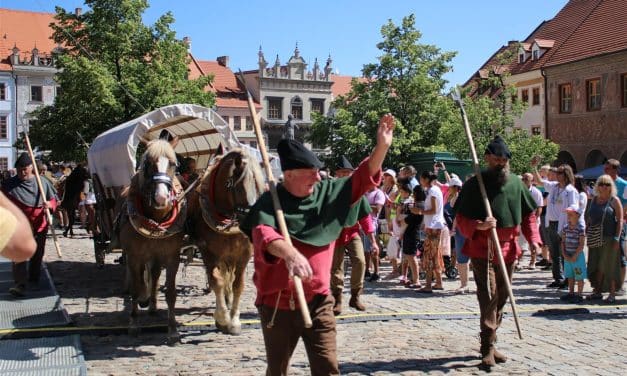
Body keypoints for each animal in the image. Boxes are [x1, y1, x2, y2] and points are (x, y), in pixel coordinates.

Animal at [118, 139, 186, 344]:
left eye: (174, 164)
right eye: (147, 164)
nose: (161, 198)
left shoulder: (172, 256)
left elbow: (171, 293)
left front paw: (172, 330)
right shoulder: (134, 256)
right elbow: (135, 288)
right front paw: (133, 323)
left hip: (155, 255)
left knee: (154, 274)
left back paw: (153, 305)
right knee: (141, 277)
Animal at [188, 148, 264, 334]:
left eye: (259, 185)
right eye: (239, 187)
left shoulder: (244, 254)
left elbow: (238, 285)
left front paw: (234, 320)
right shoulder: (208, 252)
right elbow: (217, 281)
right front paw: (222, 318)